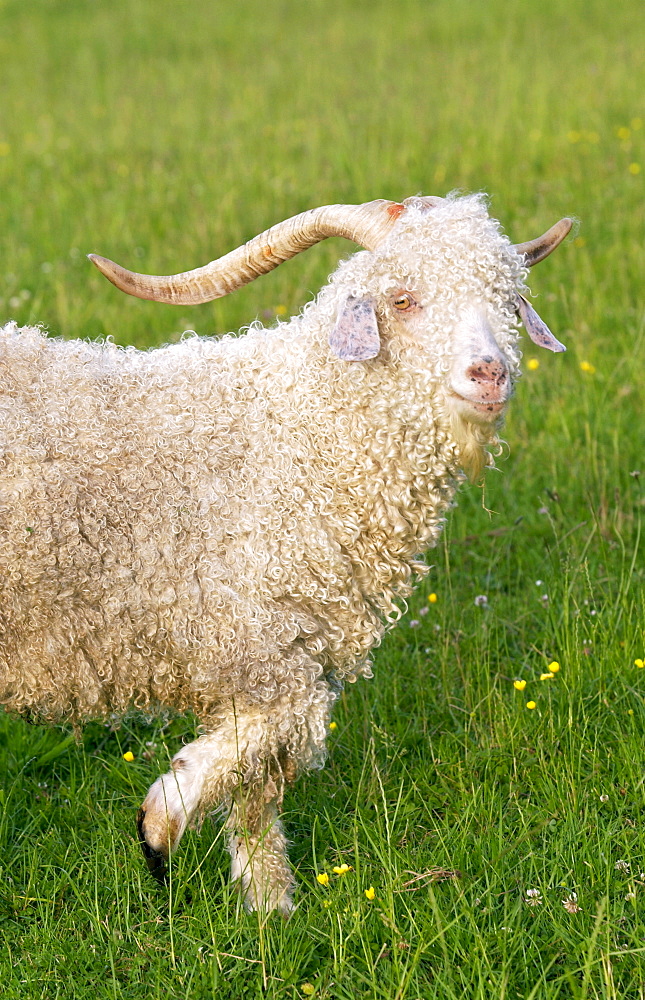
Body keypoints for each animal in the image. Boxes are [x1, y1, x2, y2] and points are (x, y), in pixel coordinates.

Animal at [0, 193, 568, 916]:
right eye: (403, 299)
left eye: (508, 301)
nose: (489, 374)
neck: (293, 437)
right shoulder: (252, 641)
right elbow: (281, 730)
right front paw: (161, 824)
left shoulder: (276, 651)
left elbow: (259, 784)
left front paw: (270, 905)